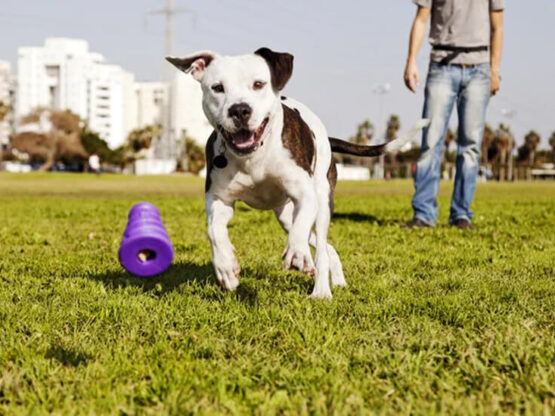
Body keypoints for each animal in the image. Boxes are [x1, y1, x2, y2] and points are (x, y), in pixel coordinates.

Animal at [167, 48, 428, 300]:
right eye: (217, 88)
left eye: (258, 84)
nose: (240, 110)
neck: (254, 155)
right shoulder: (219, 200)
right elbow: (214, 230)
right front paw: (226, 267)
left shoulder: (305, 195)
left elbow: (300, 231)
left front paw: (298, 253)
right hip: (285, 215)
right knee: (325, 246)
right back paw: (336, 279)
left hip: (322, 202)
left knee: (319, 245)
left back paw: (321, 290)